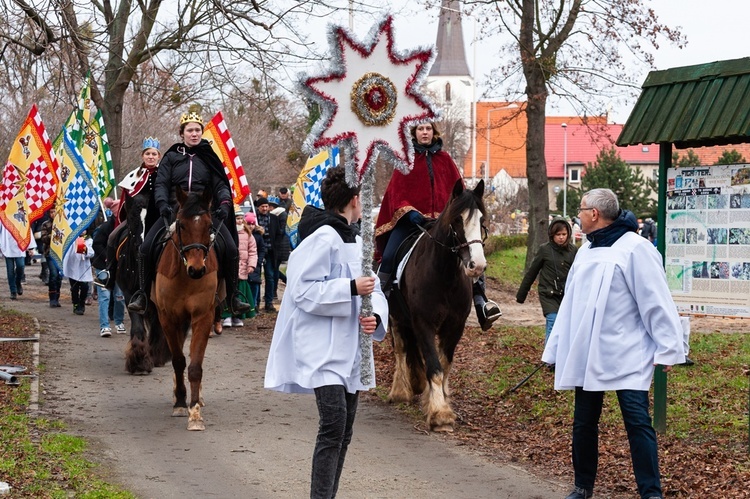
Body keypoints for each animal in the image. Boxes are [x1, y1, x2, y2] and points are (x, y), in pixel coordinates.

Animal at [153, 187, 219, 430]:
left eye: (209, 226)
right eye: (181, 225)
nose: (197, 269)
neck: (185, 278)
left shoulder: (203, 316)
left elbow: (195, 365)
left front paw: (195, 412)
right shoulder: (168, 318)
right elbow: (178, 361)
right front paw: (181, 403)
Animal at [384, 181, 490, 434]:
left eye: (482, 220)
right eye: (457, 220)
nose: (477, 265)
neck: (445, 275)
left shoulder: (455, 326)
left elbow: (444, 364)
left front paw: (438, 401)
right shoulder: (423, 323)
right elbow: (434, 366)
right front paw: (440, 414)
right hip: (396, 317)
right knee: (401, 349)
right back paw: (400, 391)